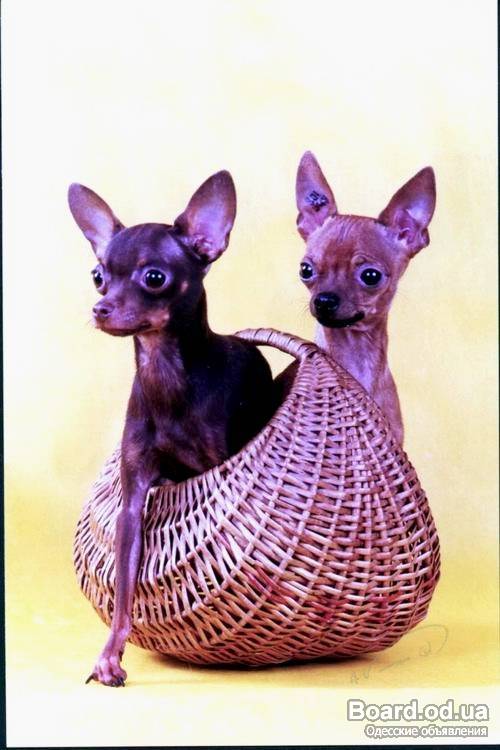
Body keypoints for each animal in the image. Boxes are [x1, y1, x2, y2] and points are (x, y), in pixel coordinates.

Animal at [68, 171, 274, 686]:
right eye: (98, 277)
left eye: (154, 278)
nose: (101, 308)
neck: (165, 375)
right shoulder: (133, 501)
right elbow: (123, 594)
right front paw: (110, 655)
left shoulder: (217, 473)